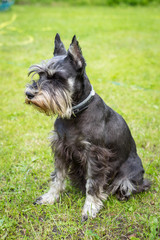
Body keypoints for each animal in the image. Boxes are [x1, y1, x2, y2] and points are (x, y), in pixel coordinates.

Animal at [24, 33, 150, 221]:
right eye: (40, 75)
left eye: (57, 78)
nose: (29, 94)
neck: (75, 113)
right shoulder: (60, 148)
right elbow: (57, 177)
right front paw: (50, 198)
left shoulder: (95, 155)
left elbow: (93, 184)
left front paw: (89, 208)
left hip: (130, 176)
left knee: (132, 185)